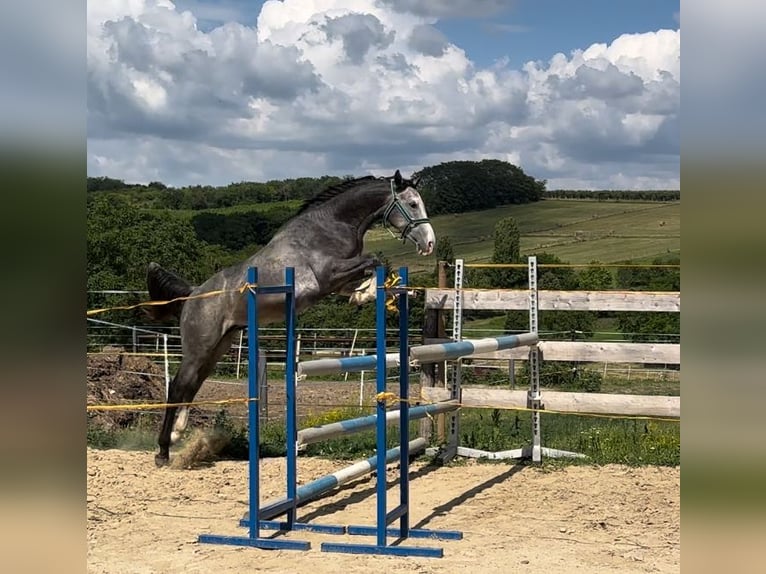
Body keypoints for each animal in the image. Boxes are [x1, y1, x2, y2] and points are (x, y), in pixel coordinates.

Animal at [145, 170, 435, 466]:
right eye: (413, 204)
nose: (429, 243)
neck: (332, 226)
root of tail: (192, 295)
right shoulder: (327, 274)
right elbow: (373, 259)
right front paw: (366, 292)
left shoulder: (335, 282)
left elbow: (367, 272)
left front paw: (368, 294)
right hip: (199, 345)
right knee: (178, 385)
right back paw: (163, 451)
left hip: (219, 346)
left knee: (193, 383)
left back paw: (178, 433)